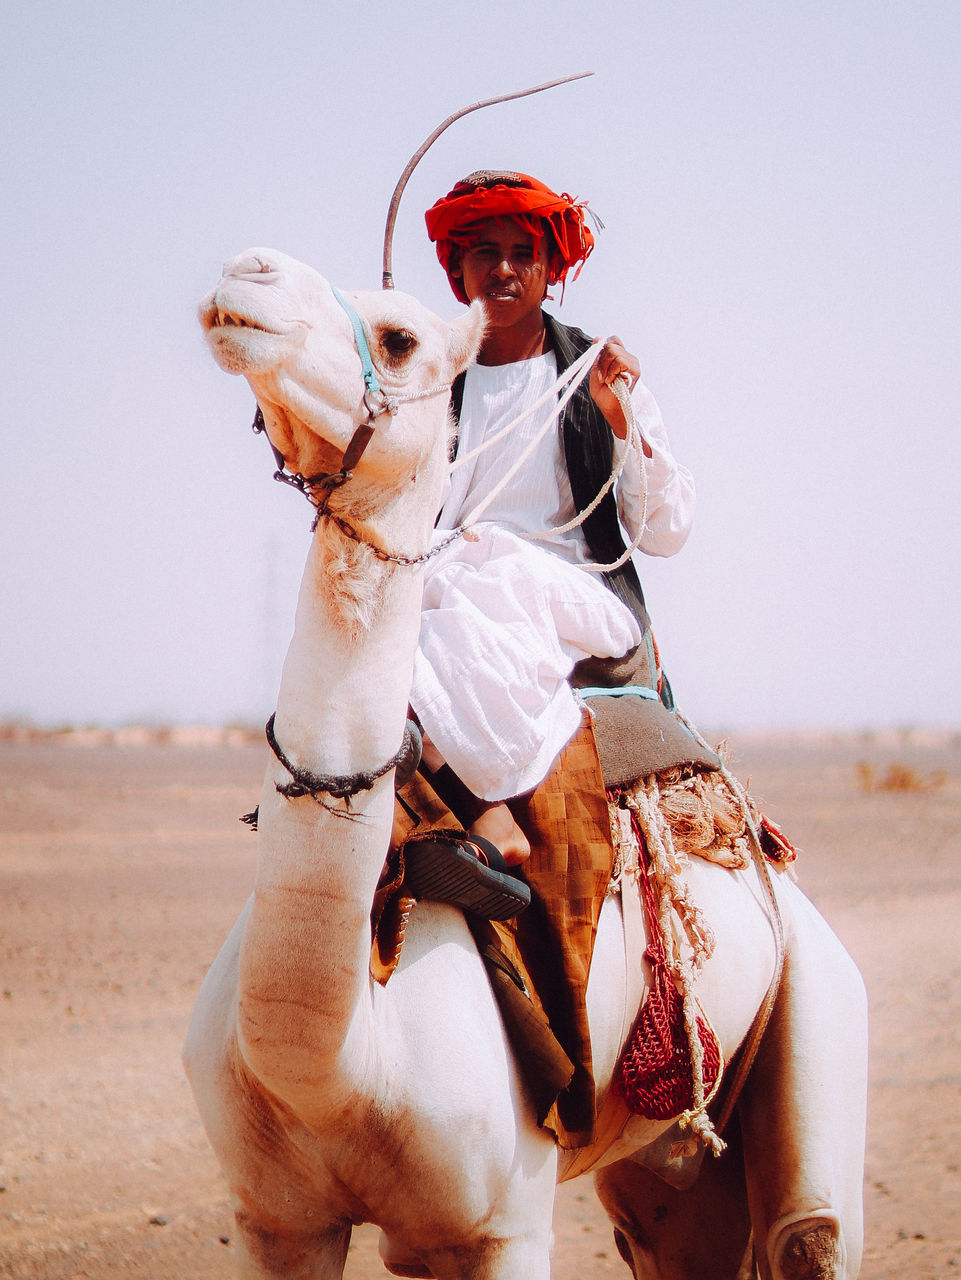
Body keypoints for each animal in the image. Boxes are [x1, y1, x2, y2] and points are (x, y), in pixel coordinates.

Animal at [184, 249, 870, 1280]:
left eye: (399, 338)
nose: (246, 270)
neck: (339, 1062)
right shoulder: (276, 1221)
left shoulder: (501, 1221)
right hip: (665, 1166)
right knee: (675, 1232)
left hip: (820, 1005)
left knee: (808, 1232)